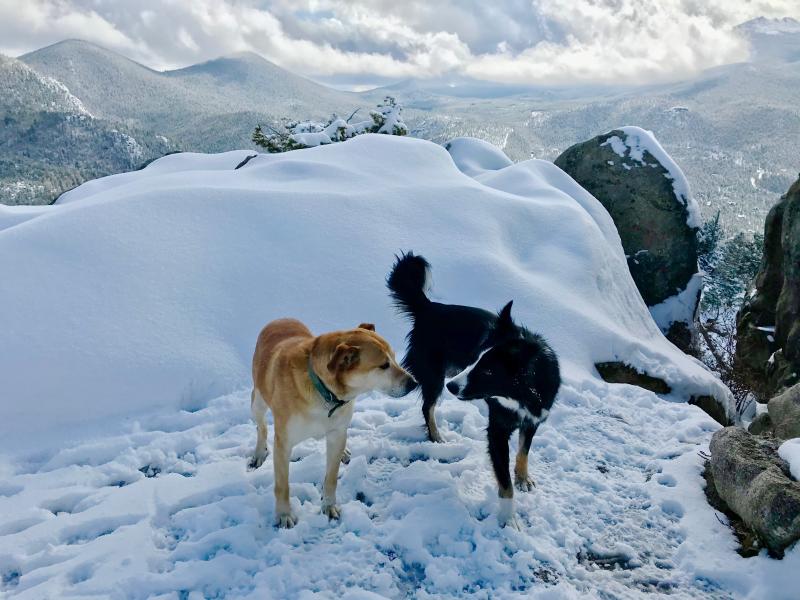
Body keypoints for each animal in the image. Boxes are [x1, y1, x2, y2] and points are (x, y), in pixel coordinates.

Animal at [248, 316, 412, 528]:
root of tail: (280, 319)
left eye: (394, 357)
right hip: (258, 402)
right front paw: (284, 515)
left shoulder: (337, 433)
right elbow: (282, 486)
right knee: (261, 427)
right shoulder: (283, 445)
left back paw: (345, 451)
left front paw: (328, 506)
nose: (413, 383)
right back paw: (259, 452)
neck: (324, 392)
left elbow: (332, 478)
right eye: (384, 365)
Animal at [386, 252, 560, 524]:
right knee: (427, 407)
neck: (521, 395)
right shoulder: (497, 430)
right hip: (434, 375)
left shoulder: (533, 419)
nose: (452, 387)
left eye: (487, 371)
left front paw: (523, 478)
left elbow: (523, 451)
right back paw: (436, 436)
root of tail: (429, 308)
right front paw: (509, 520)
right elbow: (505, 483)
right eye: (475, 358)